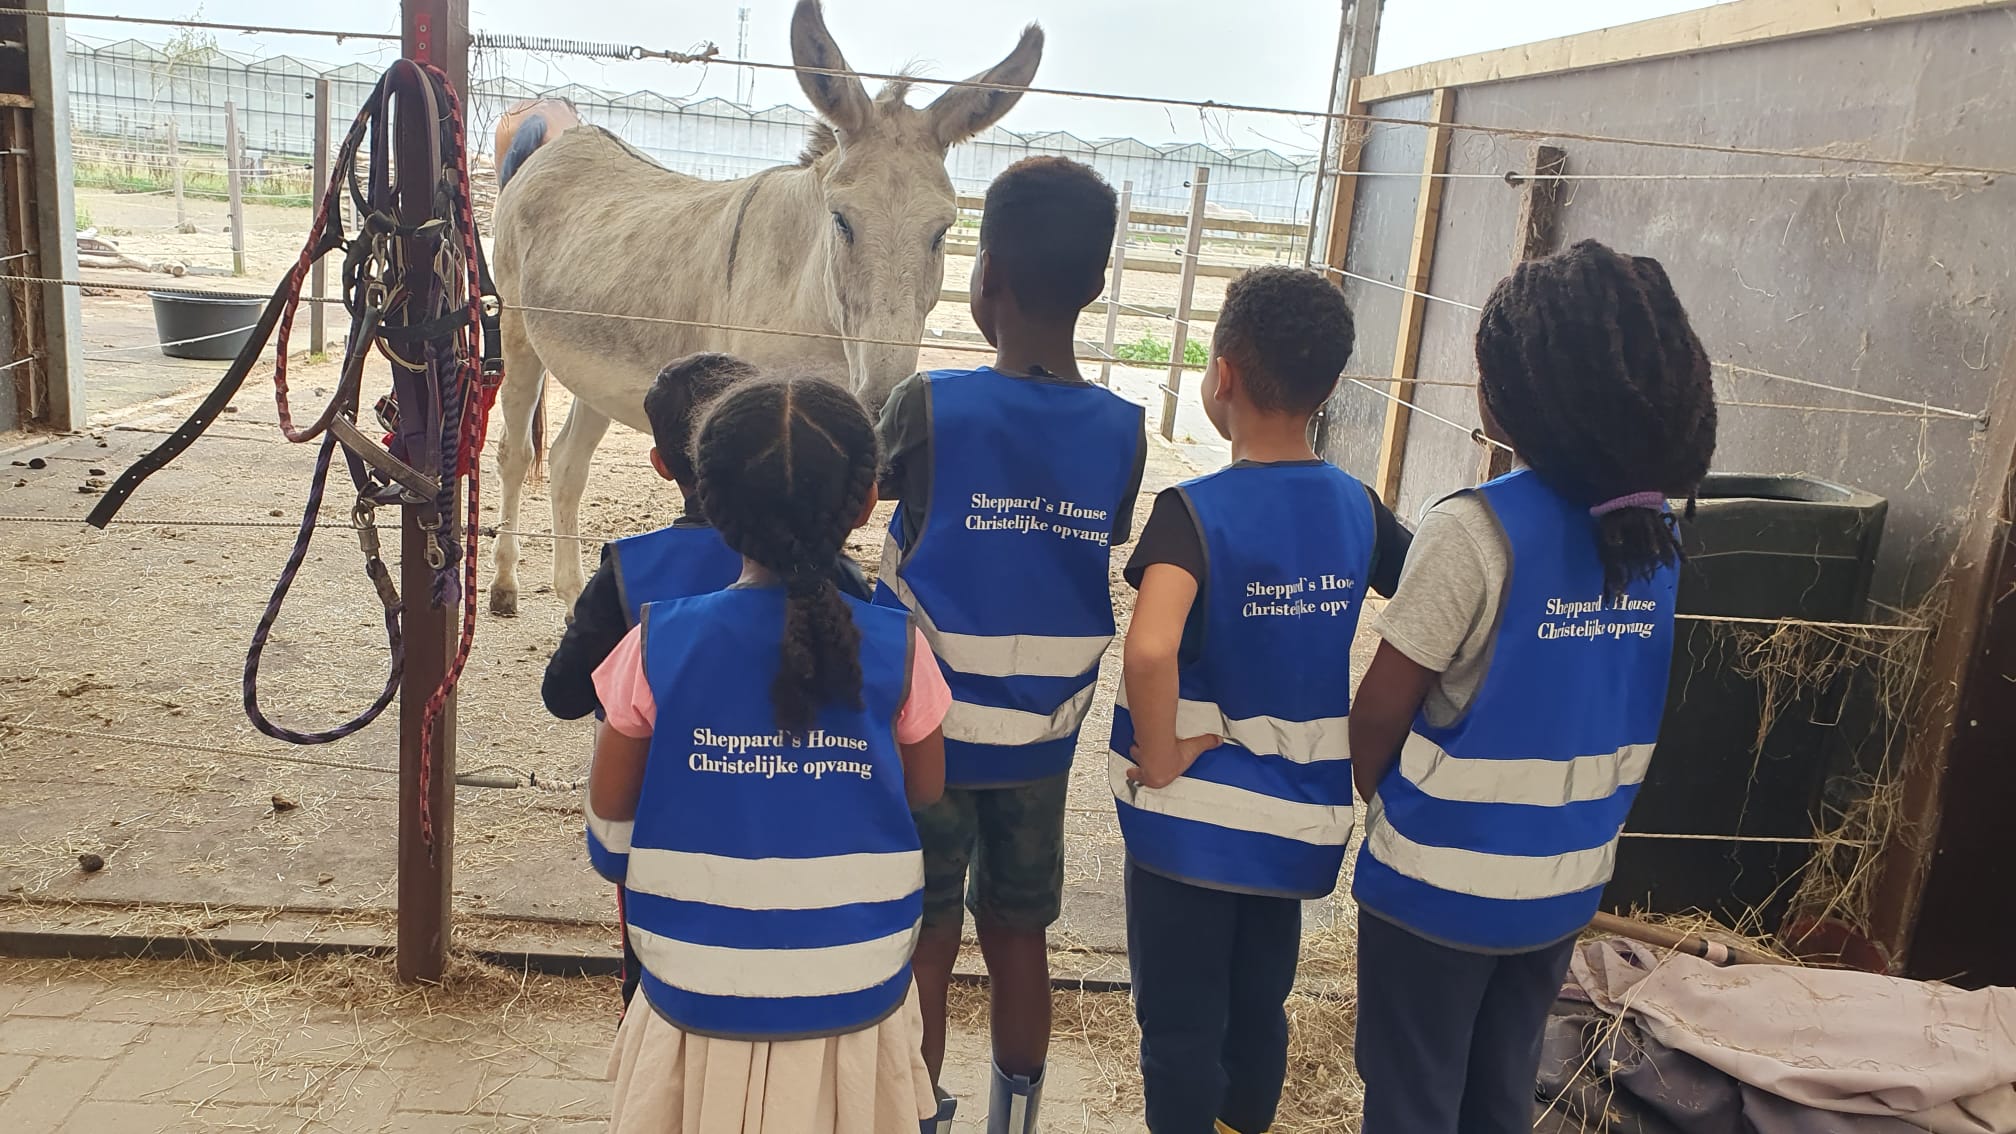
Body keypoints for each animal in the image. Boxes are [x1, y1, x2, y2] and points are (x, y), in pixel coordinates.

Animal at [487, 0, 1042, 618]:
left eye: (943, 231)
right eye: (842, 220)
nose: (885, 410)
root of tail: (564, 139)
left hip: (594, 364)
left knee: (567, 464)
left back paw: (570, 595)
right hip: (517, 329)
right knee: (514, 451)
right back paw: (504, 585)